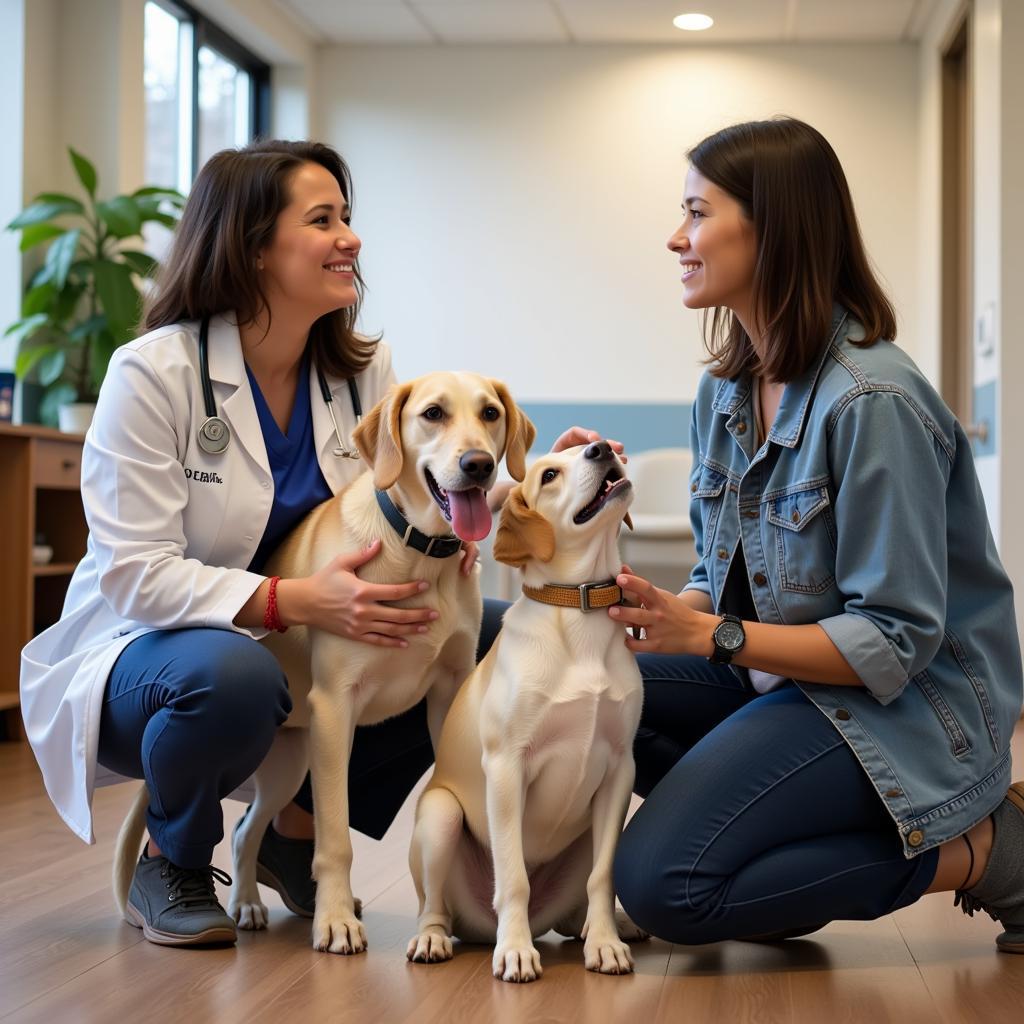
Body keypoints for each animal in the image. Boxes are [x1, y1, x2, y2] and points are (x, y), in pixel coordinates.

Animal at [403, 442, 643, 983]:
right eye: (549, 474)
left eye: (597, 444)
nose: (602, 448)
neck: (576, 611)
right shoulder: (507, 766)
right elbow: (513, 877)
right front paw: (514, 951)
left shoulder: (620, 768)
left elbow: (604, 876)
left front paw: (605, 944)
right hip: (441, 817)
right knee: (433, 906)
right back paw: (433, 939)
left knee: (577, 907)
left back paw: (605, 927)